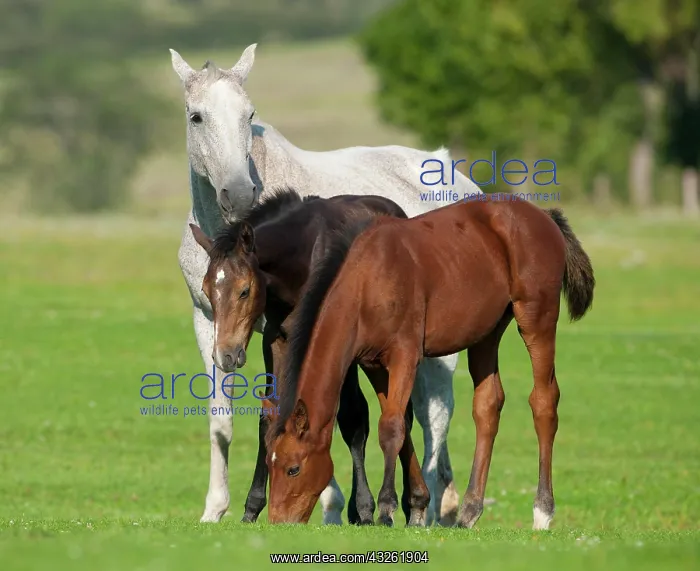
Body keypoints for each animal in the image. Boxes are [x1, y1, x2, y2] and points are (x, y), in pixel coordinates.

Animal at [188, 187, 424, 525]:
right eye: (208, 291)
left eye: (244, 290)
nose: (225, 356)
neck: (300, 261)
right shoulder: (276, 340)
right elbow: (270, 414)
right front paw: (252, 508)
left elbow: (353, 418)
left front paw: (366, 508)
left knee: (397, 413)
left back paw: (409, 504)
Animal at [265, 196, 595, 529]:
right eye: (269, 463)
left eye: (293, 468)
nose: (278, 521)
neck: (367, 281)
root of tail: (544, 216)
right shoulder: (374, 365)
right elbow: (401, 424)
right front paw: (418, 506)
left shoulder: (405, 356)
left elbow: (392, 427)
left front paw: (387, 508)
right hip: (486, 333)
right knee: (487, 406)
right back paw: (469, 511)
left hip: (536, 319)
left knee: (544, 401)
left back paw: (542, 512)